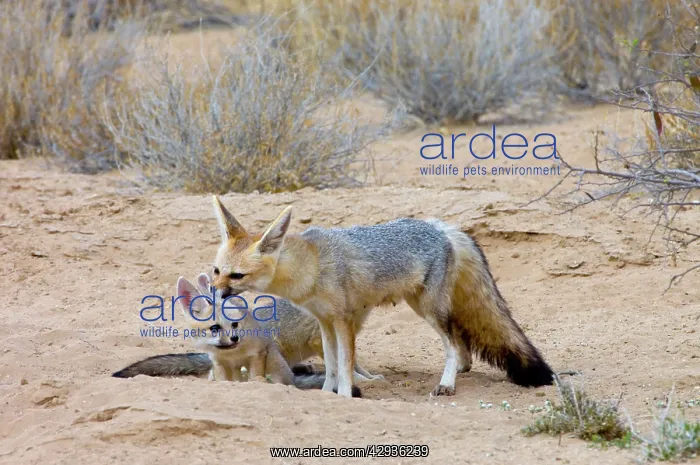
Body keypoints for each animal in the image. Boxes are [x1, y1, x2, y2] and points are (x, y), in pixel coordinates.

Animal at [210, 195, 555, 398]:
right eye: (216, 271)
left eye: (237, 276)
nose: (214, 292)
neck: (310, 265)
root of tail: (440, 226)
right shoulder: (324, 322)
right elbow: (331, 365)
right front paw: (326, 393)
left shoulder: (343, 320)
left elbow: (345, 366)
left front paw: (345, 396)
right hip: (424, 305)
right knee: (460, 341)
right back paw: (459, 372)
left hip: (428, 309)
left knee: (453, 344)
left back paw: (447, 383)